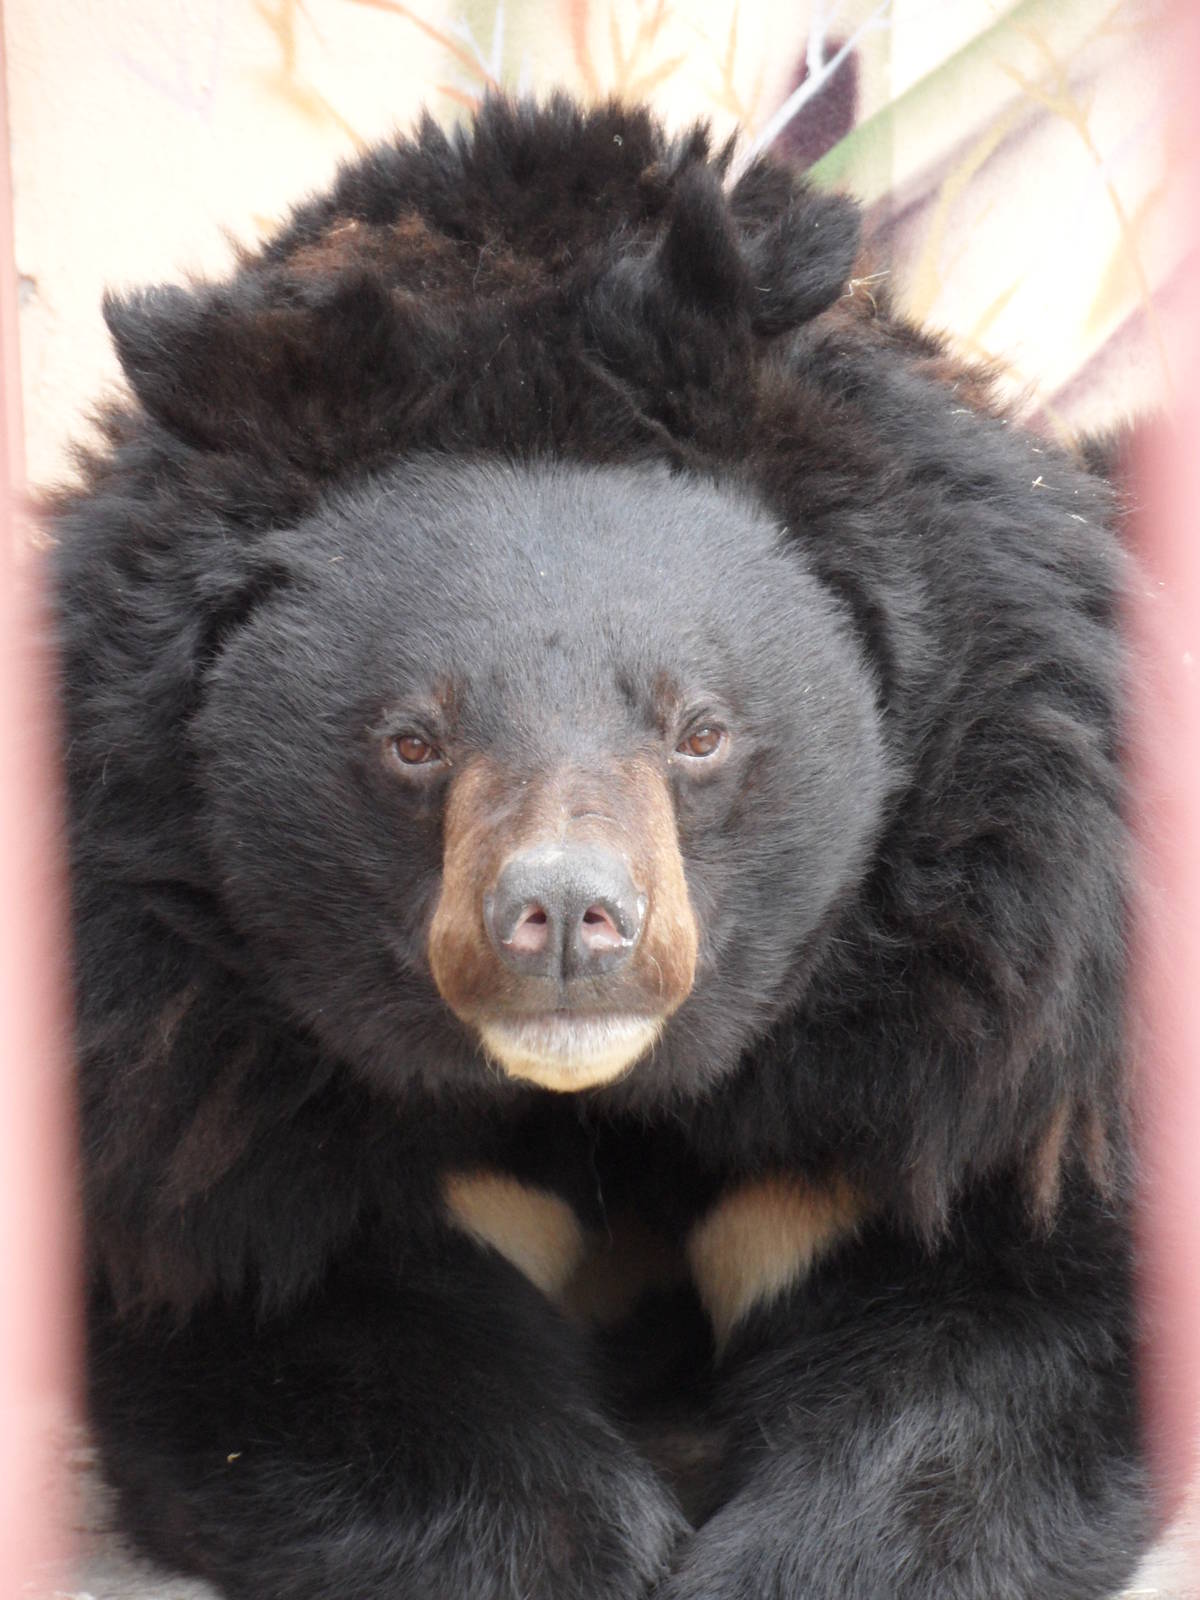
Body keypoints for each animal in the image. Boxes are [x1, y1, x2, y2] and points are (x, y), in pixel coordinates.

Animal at [51, 94, 1150, 1599]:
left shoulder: (980, 997)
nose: (568, 921)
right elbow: (288, 1314)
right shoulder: (199, 1056)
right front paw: (590, 1546)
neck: (599, 1096)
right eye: (414, 740)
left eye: (699, 730)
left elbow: (1015, 1309)